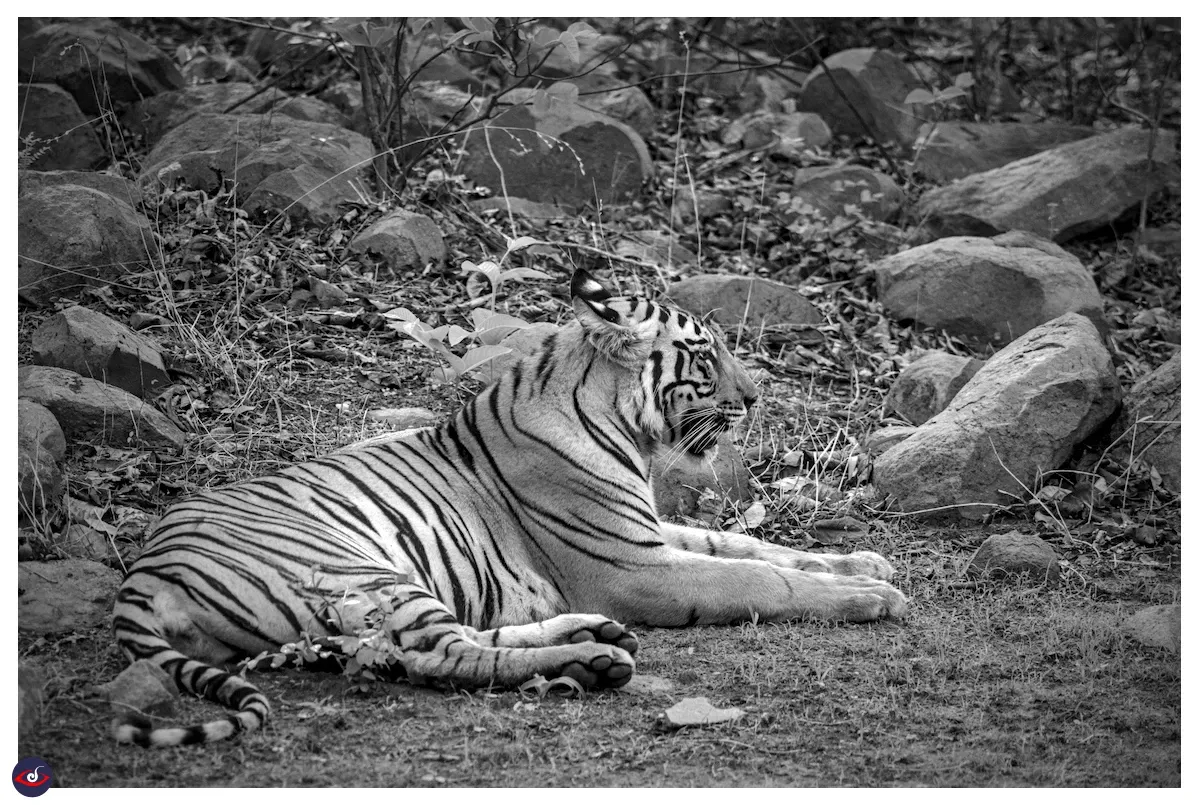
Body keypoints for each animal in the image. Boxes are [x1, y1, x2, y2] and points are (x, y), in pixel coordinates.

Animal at [111, 268, 906, 748]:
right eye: (704, 356)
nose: (756, 399)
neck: (617, 419)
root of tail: (143, 568)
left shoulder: (650, 536)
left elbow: (750, 547)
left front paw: (864, 561)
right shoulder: (633, 568)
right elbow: (756, 577)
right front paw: (870, 596)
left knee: (440, 642)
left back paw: (591, 636)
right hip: (358, 569)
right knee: (441, 657)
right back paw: (593, 661)